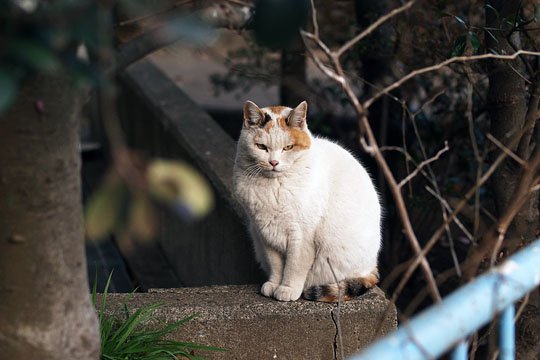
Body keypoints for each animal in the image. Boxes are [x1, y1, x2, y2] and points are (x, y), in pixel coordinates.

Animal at [234, 100, 382, 302]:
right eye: (262, 147)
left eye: (288, 148)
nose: (273, 163)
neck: (274, 187)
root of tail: (372, 266)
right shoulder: (265, 234)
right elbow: (276, 265)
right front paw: (273, 284)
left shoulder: (302, 236)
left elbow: (294, 267)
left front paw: (287, 289)